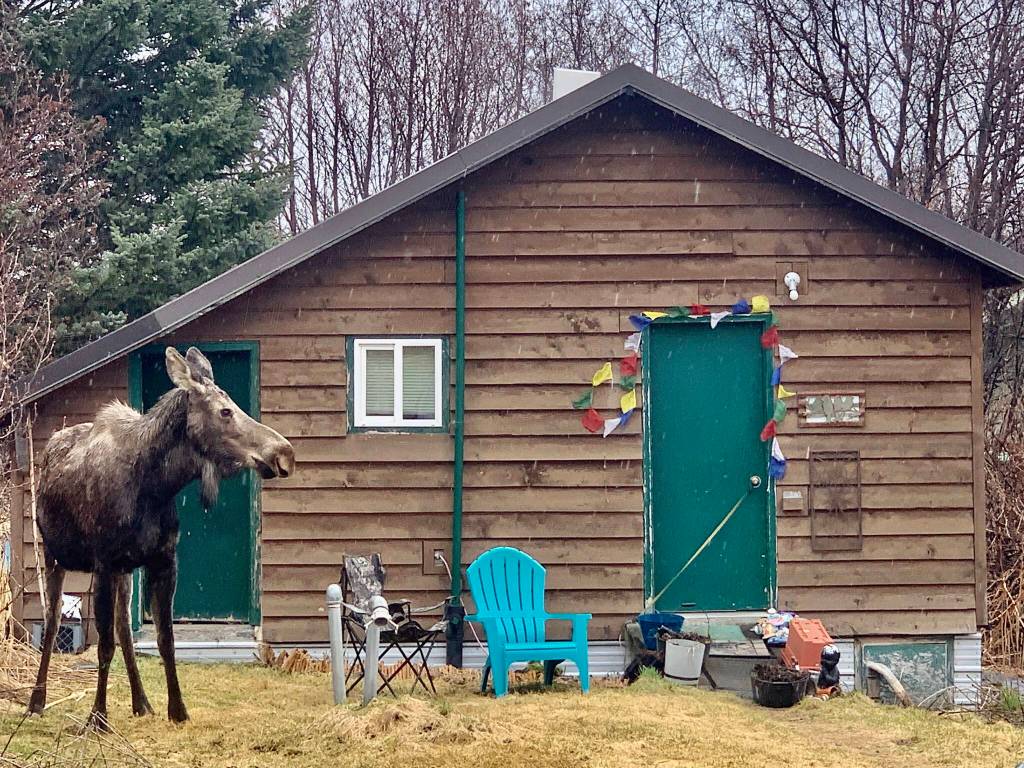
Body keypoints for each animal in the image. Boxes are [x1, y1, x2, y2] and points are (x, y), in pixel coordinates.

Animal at [27, 347, 295, 728]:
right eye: (225, 411)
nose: (284, 453)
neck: (155, 487)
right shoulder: (104, 561)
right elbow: (103, 643)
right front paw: (98, 717)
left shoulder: (163, 559)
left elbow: (164, 640)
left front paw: (177, 710)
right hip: (54, 554)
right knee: (52, 622)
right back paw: (37, 701)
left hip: (125, 570)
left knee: (124, 628)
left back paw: (141, 702)